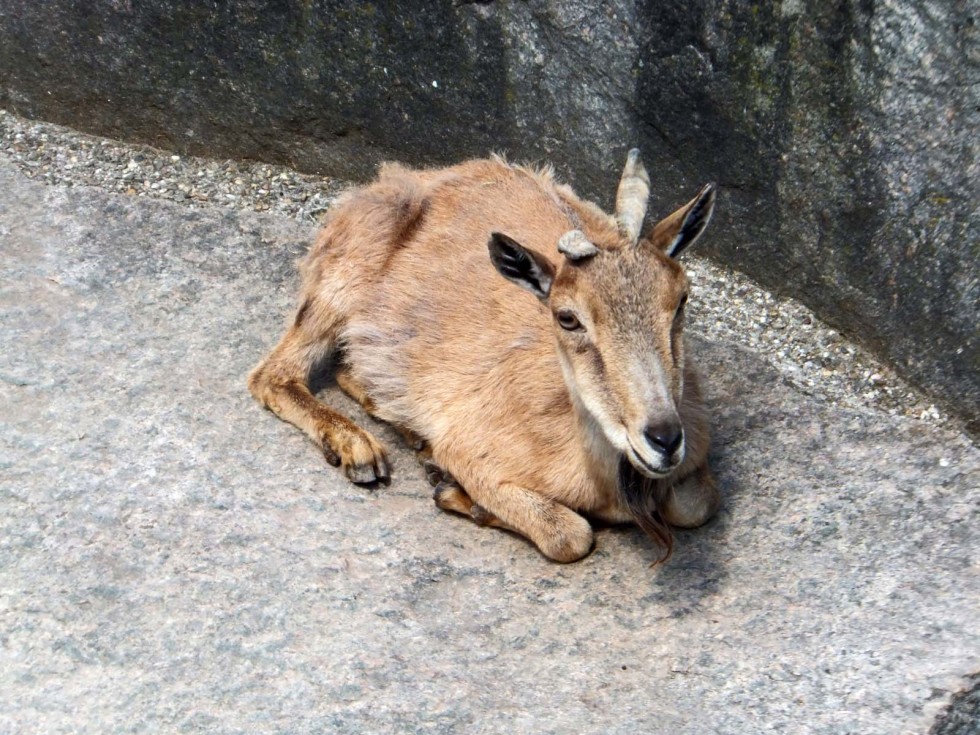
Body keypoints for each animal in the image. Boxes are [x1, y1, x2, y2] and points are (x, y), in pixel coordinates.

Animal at [247, 150, 720, 564]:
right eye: (568, 317)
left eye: (681, 299)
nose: (663, 438)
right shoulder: (472, 450)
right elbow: (569, 536)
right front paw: (456, 491)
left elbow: (695, 506)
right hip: (342, 276)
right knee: (273, 374)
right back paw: (358, 449)